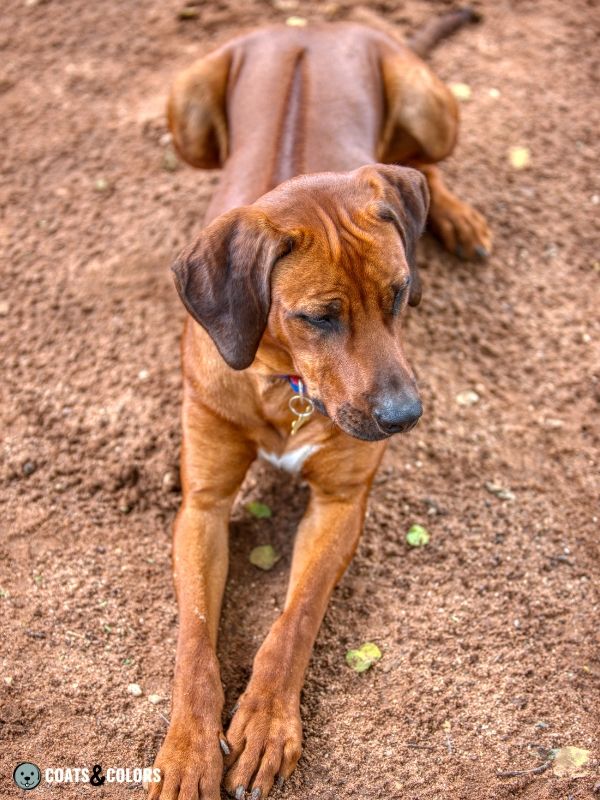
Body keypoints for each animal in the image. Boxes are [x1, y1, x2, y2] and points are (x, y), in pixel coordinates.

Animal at [151, 7, 492, 800]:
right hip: (187, 107)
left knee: (421, 166)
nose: (403, 418)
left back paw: (454, 217)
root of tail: (315, 22)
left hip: (428, 106)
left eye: (399, 294)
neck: (287, 385)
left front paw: (266, 724)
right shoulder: (202, 504)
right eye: (318, 317)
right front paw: (188, 748)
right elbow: (193, 633)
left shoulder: (342, 501)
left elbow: (296, 615)